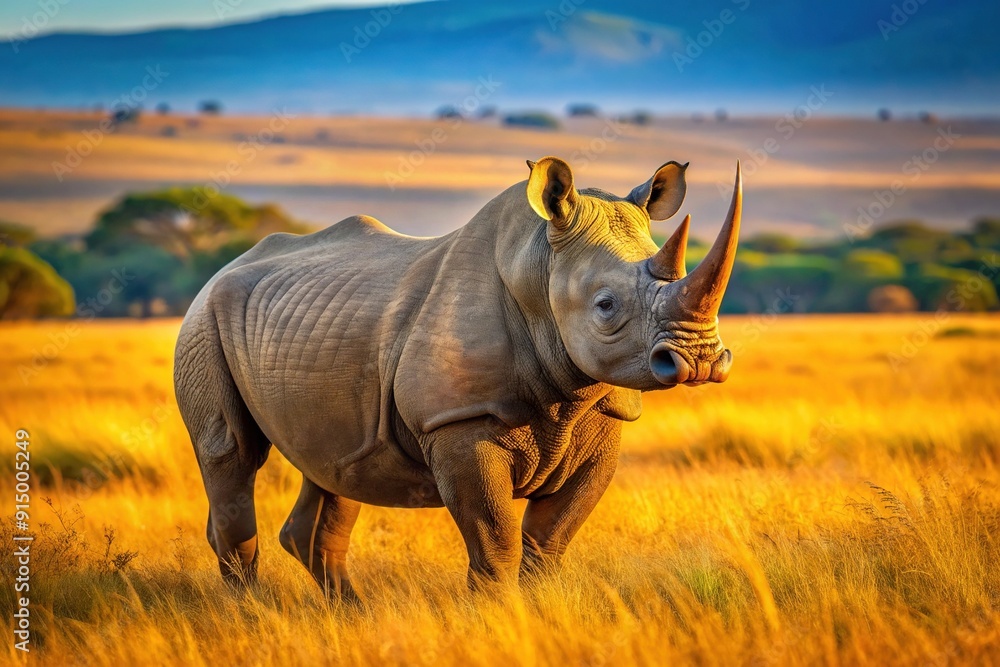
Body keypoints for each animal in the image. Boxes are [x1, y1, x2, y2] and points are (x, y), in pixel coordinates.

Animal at [174, 156, 742, 599]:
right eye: (605, 306)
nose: (699, 360)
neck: (537, 266)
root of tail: (220, 270)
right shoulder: (457, 421)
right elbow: (495, 541)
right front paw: (498, 620)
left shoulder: (602, 415)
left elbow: (548, 541)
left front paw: (540, 613)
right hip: (203, 322)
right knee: (232, 454)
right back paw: (253, 612)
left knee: (335, 466)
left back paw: (352, 616)